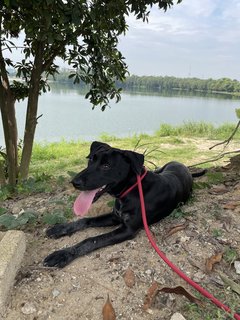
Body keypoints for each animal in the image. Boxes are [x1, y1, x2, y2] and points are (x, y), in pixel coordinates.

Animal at [44, 141, 198, 268]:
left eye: (106, 166)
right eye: (91, 160)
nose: (74, 182)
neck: (131, 190)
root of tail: (184, 166)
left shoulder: (127, 229)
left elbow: (92, 240)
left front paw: (63, 254)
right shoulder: (114, 217)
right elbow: (86, 220)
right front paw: (61, 228)